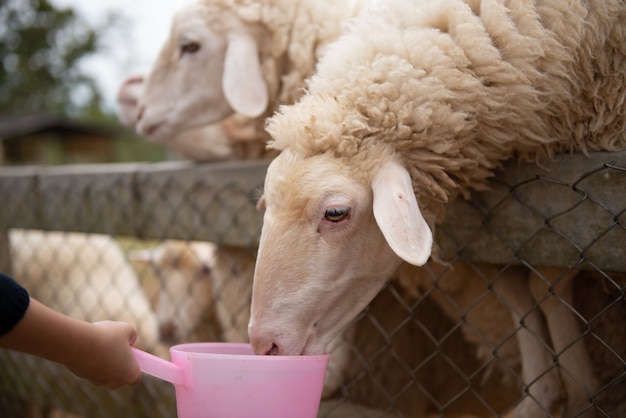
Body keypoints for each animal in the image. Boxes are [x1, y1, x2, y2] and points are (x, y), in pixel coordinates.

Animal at [250, 0, 624, 414]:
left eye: (336, 213)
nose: (264, 344)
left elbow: (545, 279)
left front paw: (578, 391)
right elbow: (515, 289)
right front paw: (547, 396)